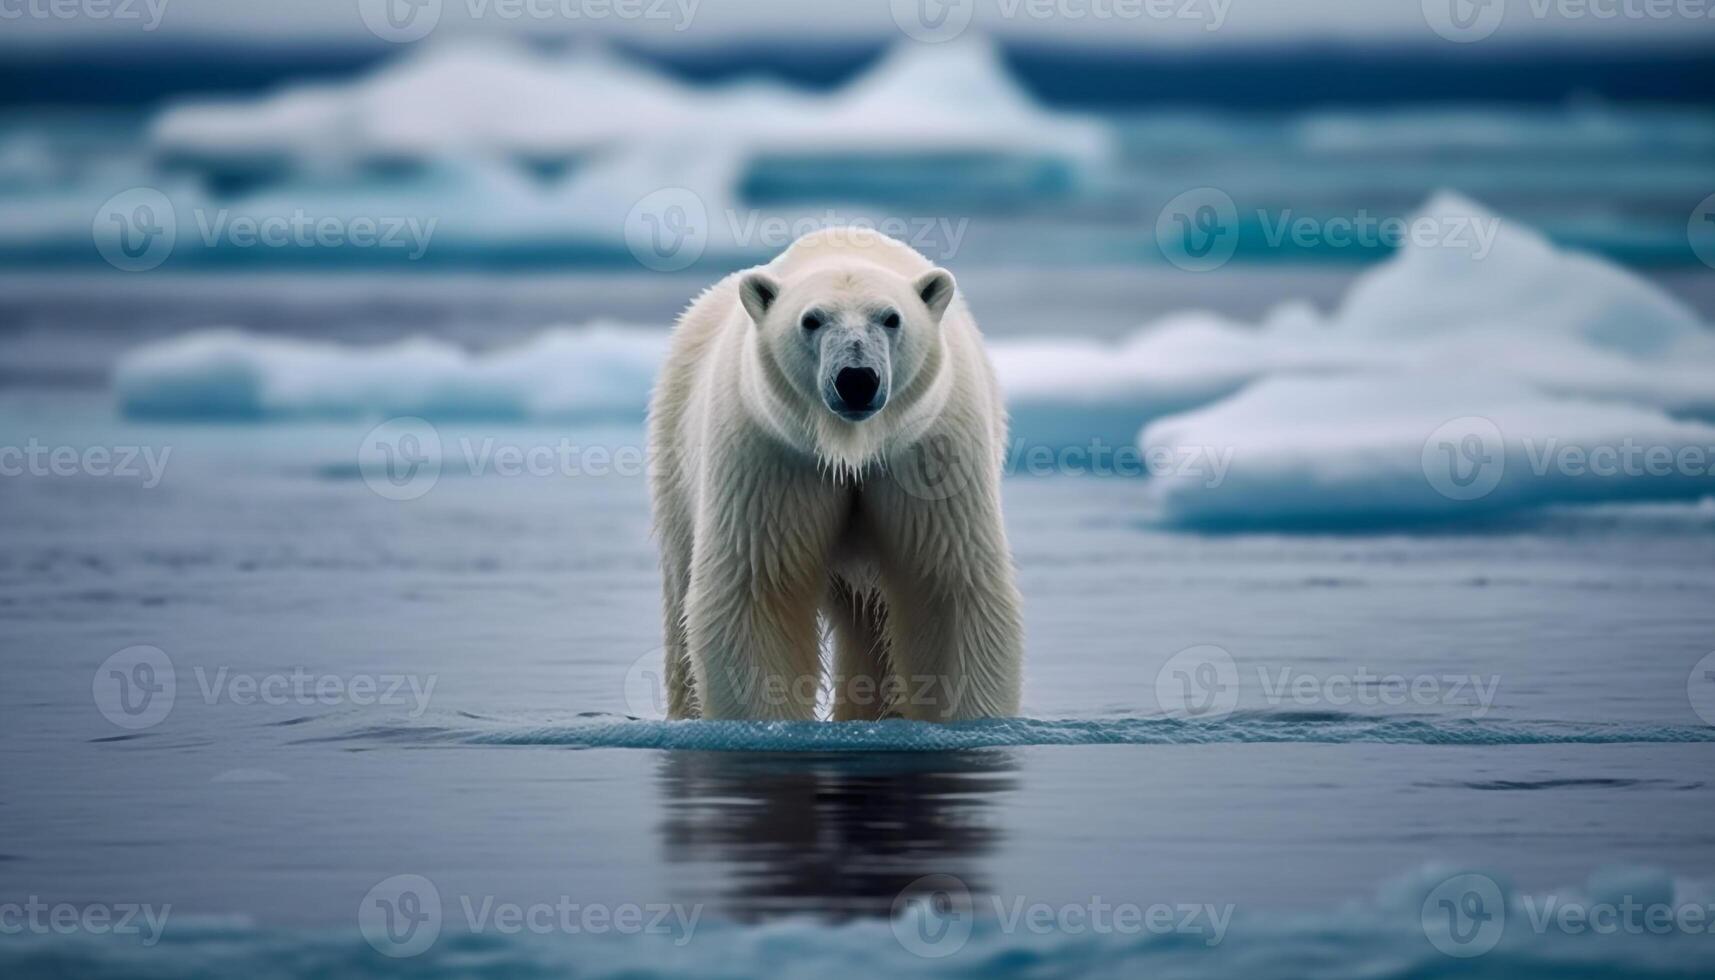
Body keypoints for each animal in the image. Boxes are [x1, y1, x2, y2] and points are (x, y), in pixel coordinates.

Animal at [644, 228, 1015, 720]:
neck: (853, 446)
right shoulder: (772, 456)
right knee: (679, 586)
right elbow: (758, 590)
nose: (856, 379)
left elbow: (945, 584)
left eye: (891, 317)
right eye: (811, 320)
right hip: (675, 454)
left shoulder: (929, 452)